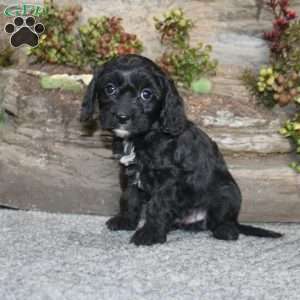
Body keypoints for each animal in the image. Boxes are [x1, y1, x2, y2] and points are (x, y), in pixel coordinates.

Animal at [79, 54, 282, 246]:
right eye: (109, 88)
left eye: (146, 94)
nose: (122, 117)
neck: (145, 136)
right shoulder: (129, 172)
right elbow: (129, 197)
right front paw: (126, 221)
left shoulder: (168, 180)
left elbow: (157, 206)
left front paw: (149, 234)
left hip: (228, 192)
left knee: (223, 220)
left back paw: (226, 230)